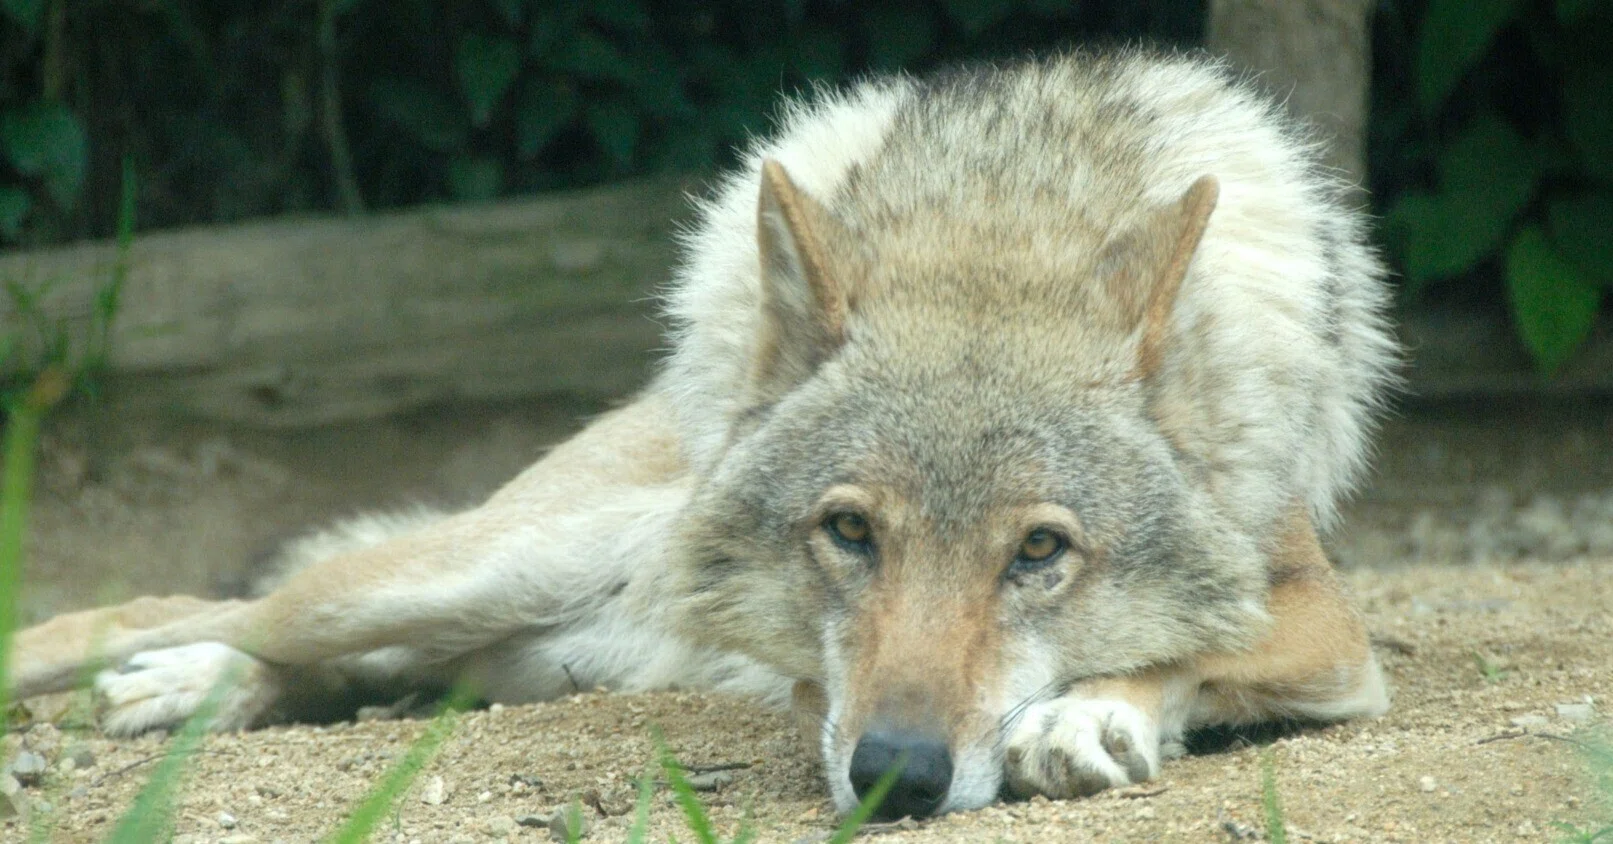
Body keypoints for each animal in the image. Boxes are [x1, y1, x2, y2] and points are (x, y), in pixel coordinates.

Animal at [11, 49, 1396, 820]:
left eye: (1040, 552)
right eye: (848, 531)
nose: (894, 776)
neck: (994, 232)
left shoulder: (1331, 622)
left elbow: (1210, 637)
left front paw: (1090, 713)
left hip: (482, 646)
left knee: (319, 663)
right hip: (450, 573)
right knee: (179, 610)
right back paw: (163, 678)